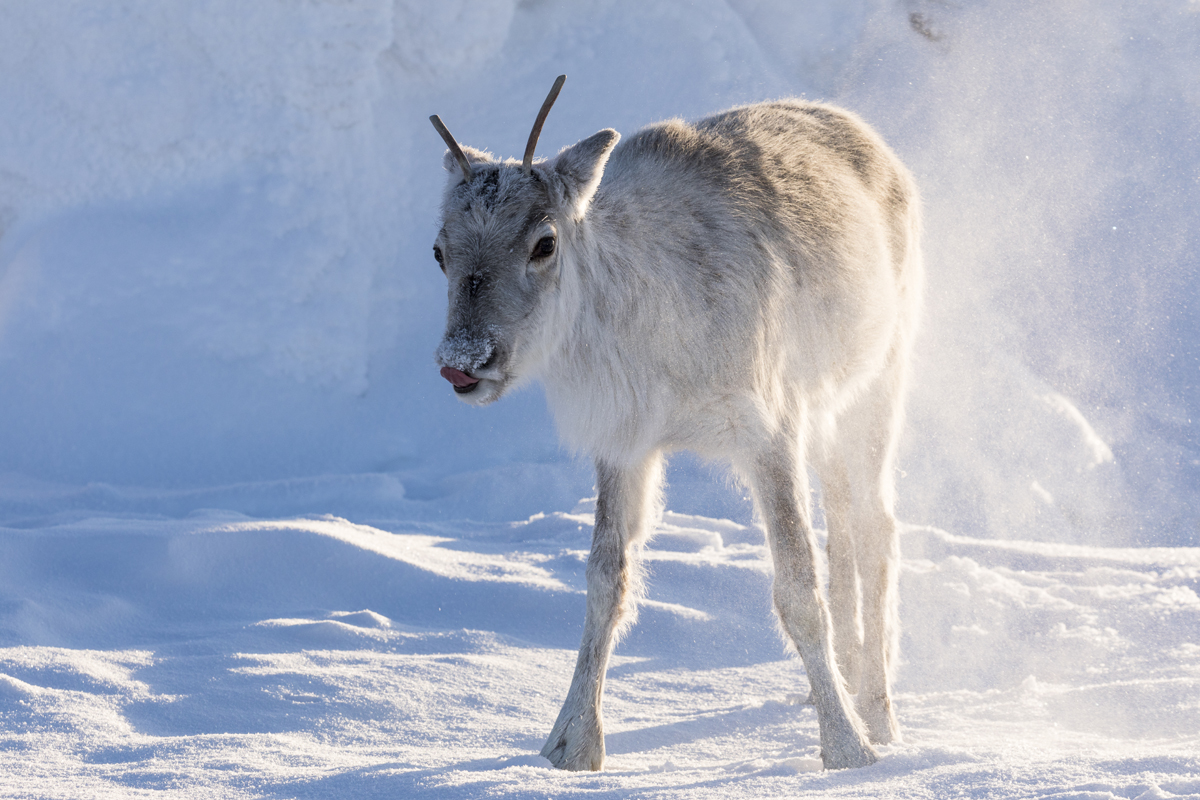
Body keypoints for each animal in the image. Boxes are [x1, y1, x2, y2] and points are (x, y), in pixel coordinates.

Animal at [429, 77, 916, 772]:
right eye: (438, 251)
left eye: (545, 243)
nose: (462, 361)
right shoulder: (624, 441)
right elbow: (605, 582)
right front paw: (570, 745)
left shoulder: (769, 427)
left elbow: (797, 588)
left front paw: (846, 749)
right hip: (827, 410)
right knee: (843, 518)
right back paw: (832, 688)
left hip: (878, 382)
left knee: (877, 527)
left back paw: (876, 712)